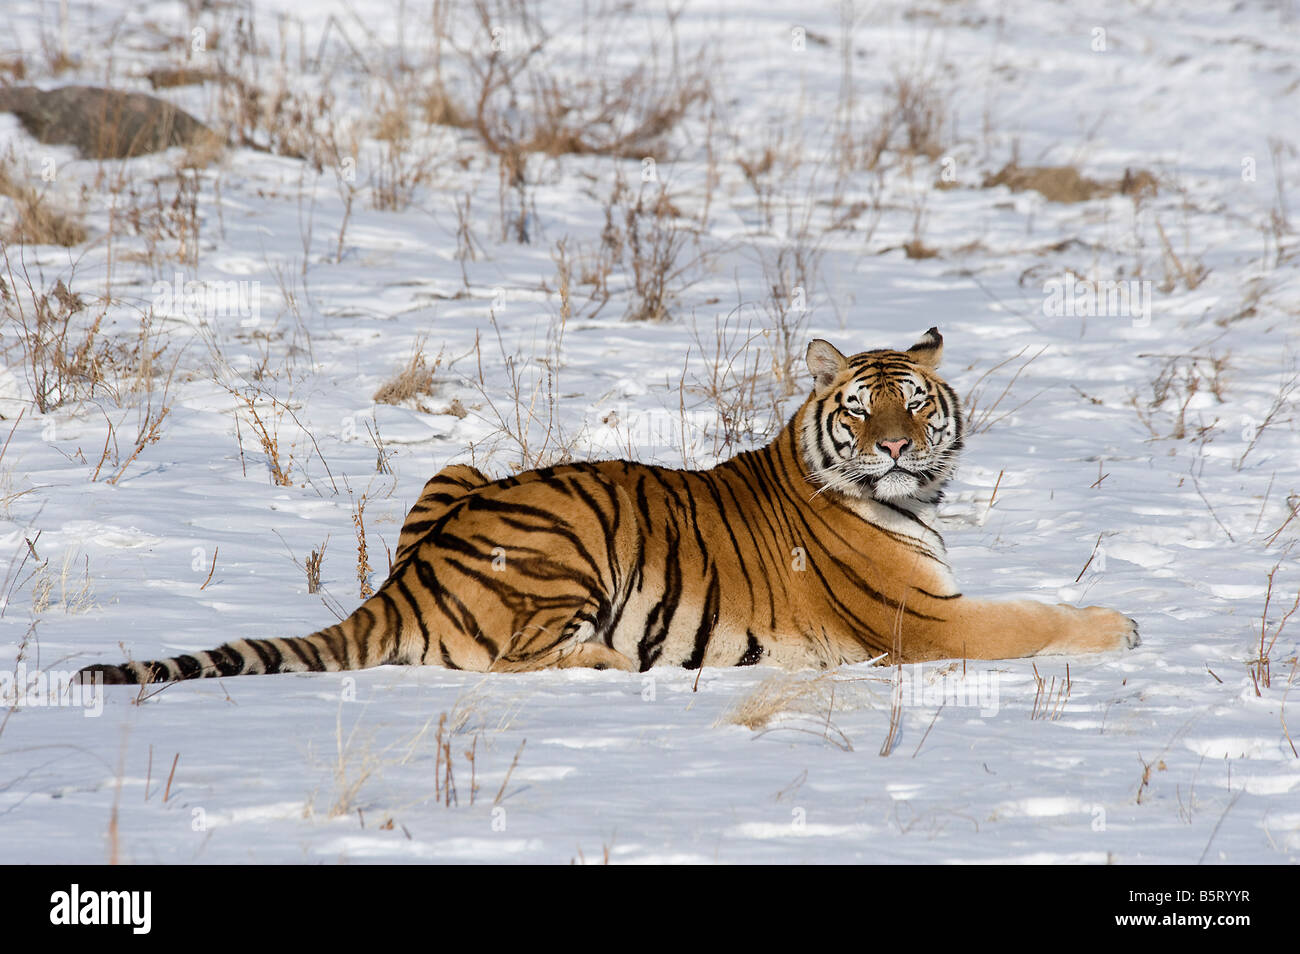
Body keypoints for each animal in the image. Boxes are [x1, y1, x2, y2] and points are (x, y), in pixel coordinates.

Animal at [78, 330, 1138, 686]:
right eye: (861, 408)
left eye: (915, 404)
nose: (895, 449)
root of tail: (406, 582)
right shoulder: (925, 623)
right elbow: (1029, 616)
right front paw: (1121, 625)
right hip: (570, 541)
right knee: (510, 663)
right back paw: (623, 664)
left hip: (457, 467)